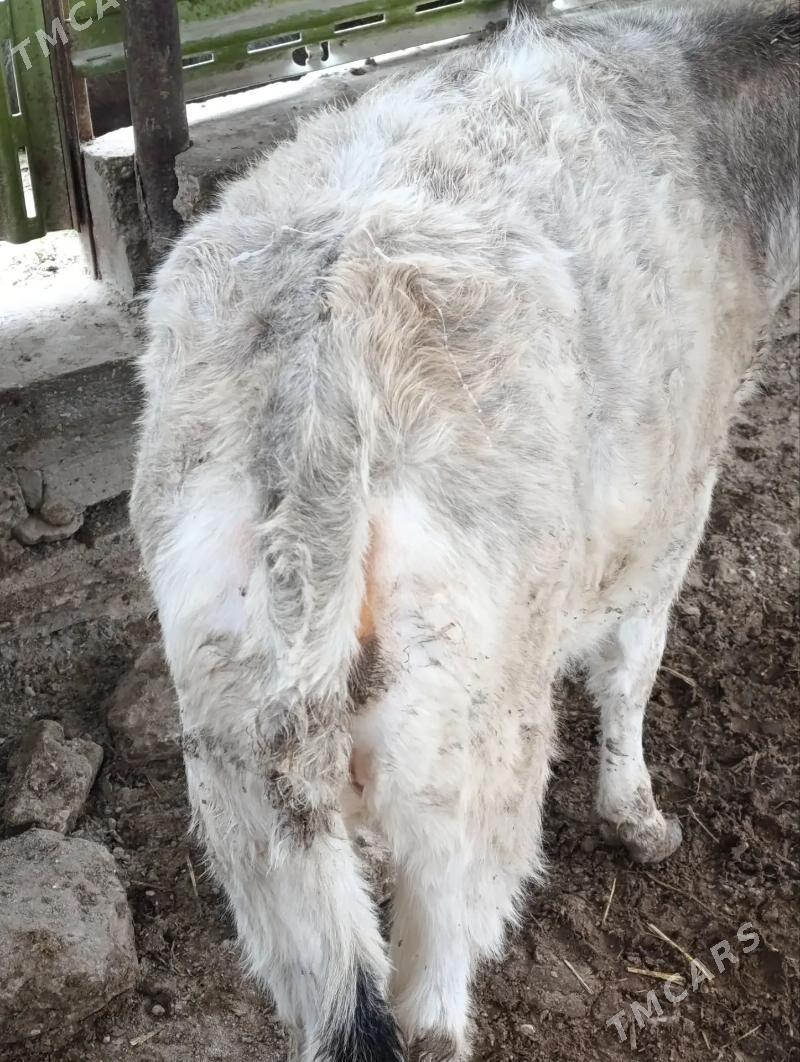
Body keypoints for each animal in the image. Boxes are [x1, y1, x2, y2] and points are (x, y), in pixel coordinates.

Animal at [130, 5, 799, 1060]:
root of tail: (323, 352)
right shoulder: (672, 505)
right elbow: (632, 672)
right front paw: (640, 819)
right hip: (469, 770)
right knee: (434, 1003)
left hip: (246, 783)